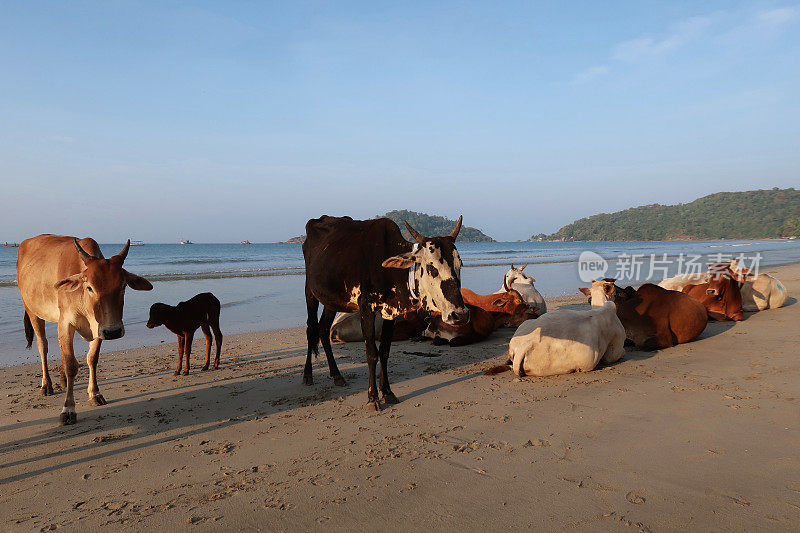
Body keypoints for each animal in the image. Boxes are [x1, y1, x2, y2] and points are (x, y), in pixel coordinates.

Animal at [304, 214, 468, 410]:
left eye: (460, 265)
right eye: (431, 267)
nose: (460, 314)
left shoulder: (391, 314)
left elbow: (384, 352)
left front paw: (388, 392)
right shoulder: (366, 309)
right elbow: (372, 354)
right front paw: (373, 398)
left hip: (332, 301)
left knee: (322, 328)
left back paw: (337, 375)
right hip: (310, 293)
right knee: (311, 329)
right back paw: (307, 375)